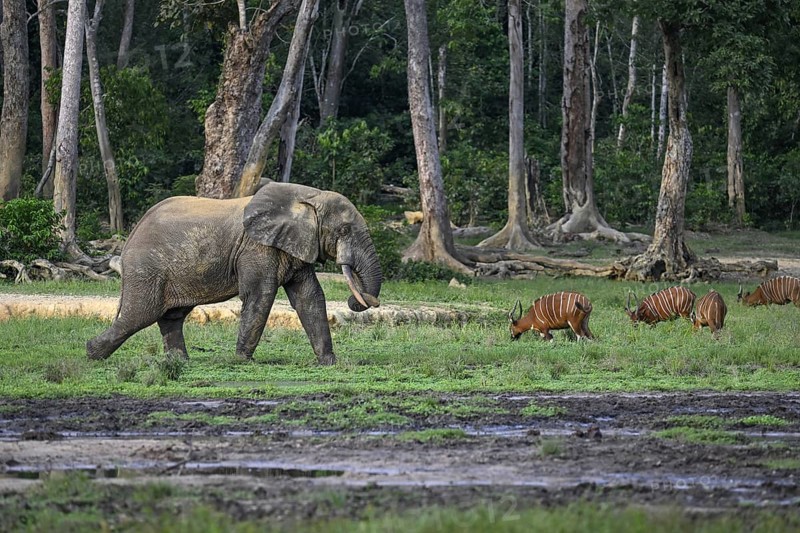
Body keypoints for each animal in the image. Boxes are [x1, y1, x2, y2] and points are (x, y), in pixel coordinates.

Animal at [86, 181, 382, 365]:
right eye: (344, 230)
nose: (357, 300)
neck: (309, 197)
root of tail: (130, 236)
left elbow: (309, 297)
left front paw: (329, 363)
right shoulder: (257, 247)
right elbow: (261, 295)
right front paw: (242, 361)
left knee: (171, 316)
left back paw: (179, 362)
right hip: (146, 268)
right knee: (140, 314)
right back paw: (92, 353)